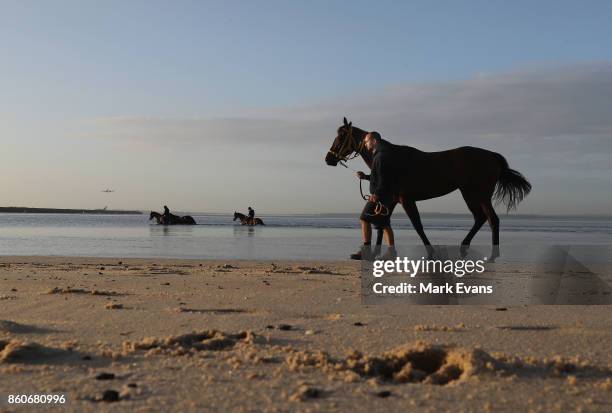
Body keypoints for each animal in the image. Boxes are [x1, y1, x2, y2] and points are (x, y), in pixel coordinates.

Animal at [326, 117, 532, 256]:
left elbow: (417, 225)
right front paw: (376, 252)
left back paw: (490, 254)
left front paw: (431, 251)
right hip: (474, 195)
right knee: (483, 218)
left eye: (342, 136)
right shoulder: (390, 200)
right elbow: (382, 223)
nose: (328, 159)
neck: (388, 157)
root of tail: (492, 156)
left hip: (476, 194)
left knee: (490, 219)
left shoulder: (405, 200)